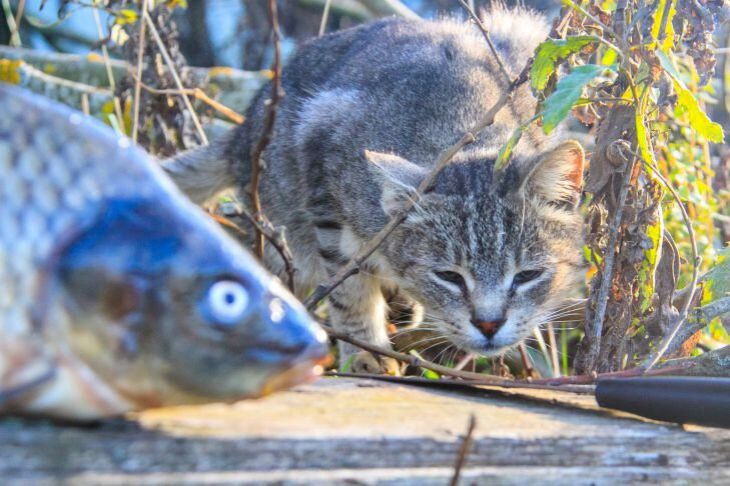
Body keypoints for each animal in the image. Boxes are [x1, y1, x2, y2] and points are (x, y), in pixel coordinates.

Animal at [164, 6, 584, 372]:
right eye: (449, 277)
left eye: (527, 276)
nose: (489, 324)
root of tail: (244, 133)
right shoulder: (322, 149)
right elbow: (349, 291)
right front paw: (366, 353)